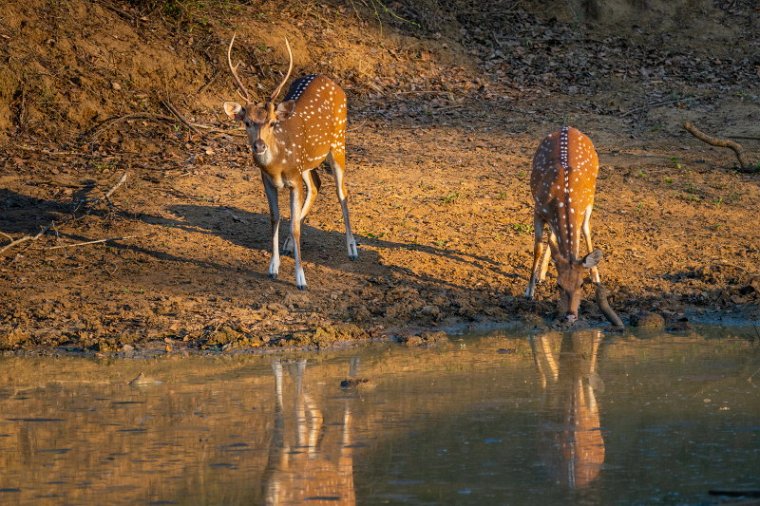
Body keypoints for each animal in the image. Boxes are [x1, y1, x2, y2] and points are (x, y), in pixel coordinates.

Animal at [224, 34, 358, 288]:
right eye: (247, 122)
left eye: (272, 122)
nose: (259, 146)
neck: (276, 167)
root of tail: (331, 81)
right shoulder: (267, 181)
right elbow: (275, 218)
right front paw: (273, 268)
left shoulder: (293, 179)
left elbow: (295, 227)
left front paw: (301, 279)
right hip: (307, 162)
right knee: (316, 185)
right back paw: (287, 244)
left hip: (338, 142)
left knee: (342, 192)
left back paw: (352, 248)